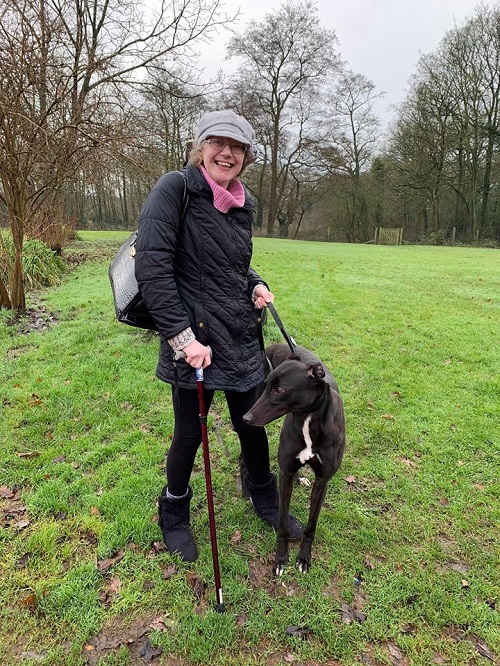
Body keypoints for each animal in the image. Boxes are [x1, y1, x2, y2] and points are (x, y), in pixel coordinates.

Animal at [243, 342, 346, 572]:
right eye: (268, 385)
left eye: (280, 390)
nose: (246, 418)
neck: (308, 418)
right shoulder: (285, 474)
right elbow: (282, 522)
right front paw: (281, 558)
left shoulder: (323, 481)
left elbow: (311, 524)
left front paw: (304, 558)